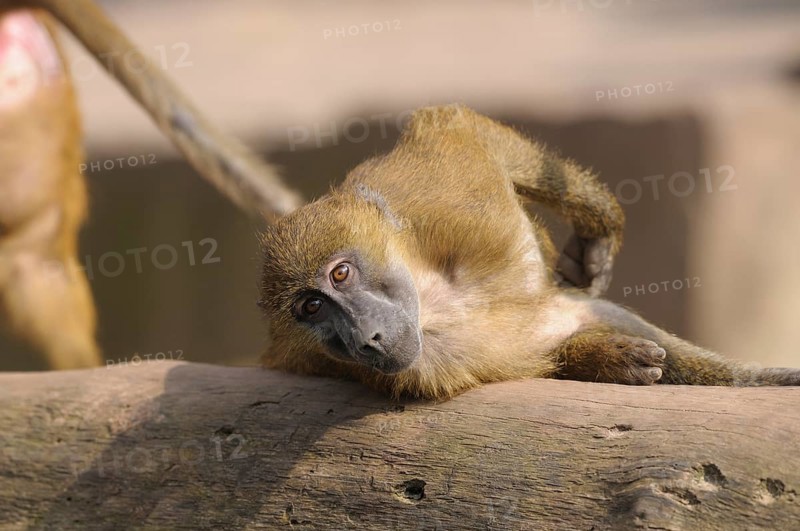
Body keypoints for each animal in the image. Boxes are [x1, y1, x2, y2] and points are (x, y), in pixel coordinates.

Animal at [259, 104, 800, 400]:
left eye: (340, 274)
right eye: (312, 308)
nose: (363, 340)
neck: (429, 300)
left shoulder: (453, 207)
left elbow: (455, 129)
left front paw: (597, 228)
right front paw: (601, 359)